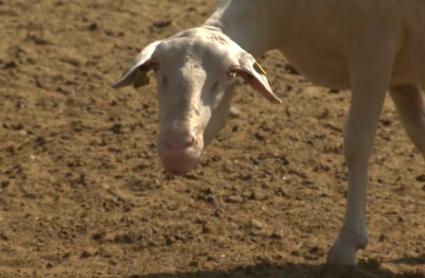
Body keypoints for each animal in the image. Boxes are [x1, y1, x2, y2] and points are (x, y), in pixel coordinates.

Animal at [112, 0, 424, 270]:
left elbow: (357, 143)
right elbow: (418, 134)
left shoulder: (374, 51)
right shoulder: (400, 76)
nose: (177, 148)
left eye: (228, 74)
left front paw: (347, 246)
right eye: (158, 72)